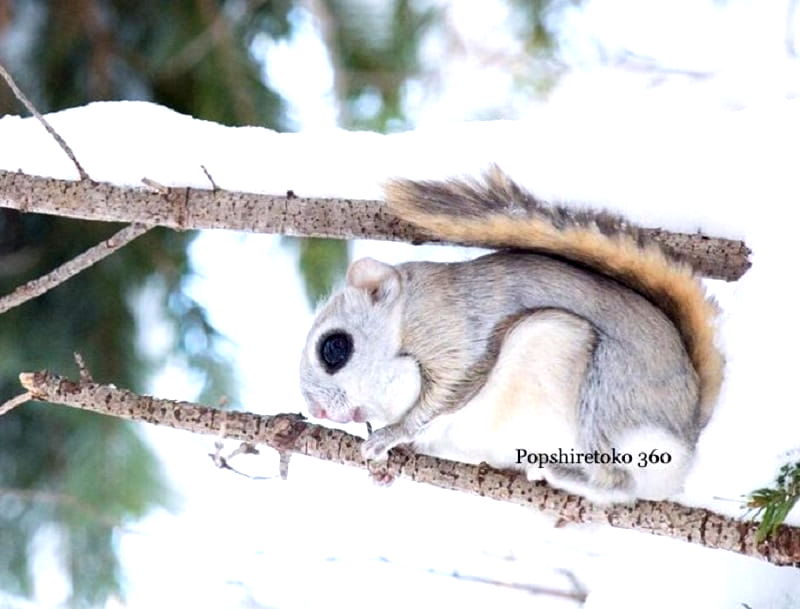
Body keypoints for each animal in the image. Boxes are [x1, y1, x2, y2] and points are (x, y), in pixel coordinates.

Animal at [296, 166, 720, 504]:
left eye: (334, 347)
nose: (317, 411)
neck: (402, 318)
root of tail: (688, 434)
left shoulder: (451, 329)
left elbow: (445, 395)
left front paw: (390, 434)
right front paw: (382, 473)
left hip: (605, 402)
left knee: (619, 484)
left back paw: (559, 474)